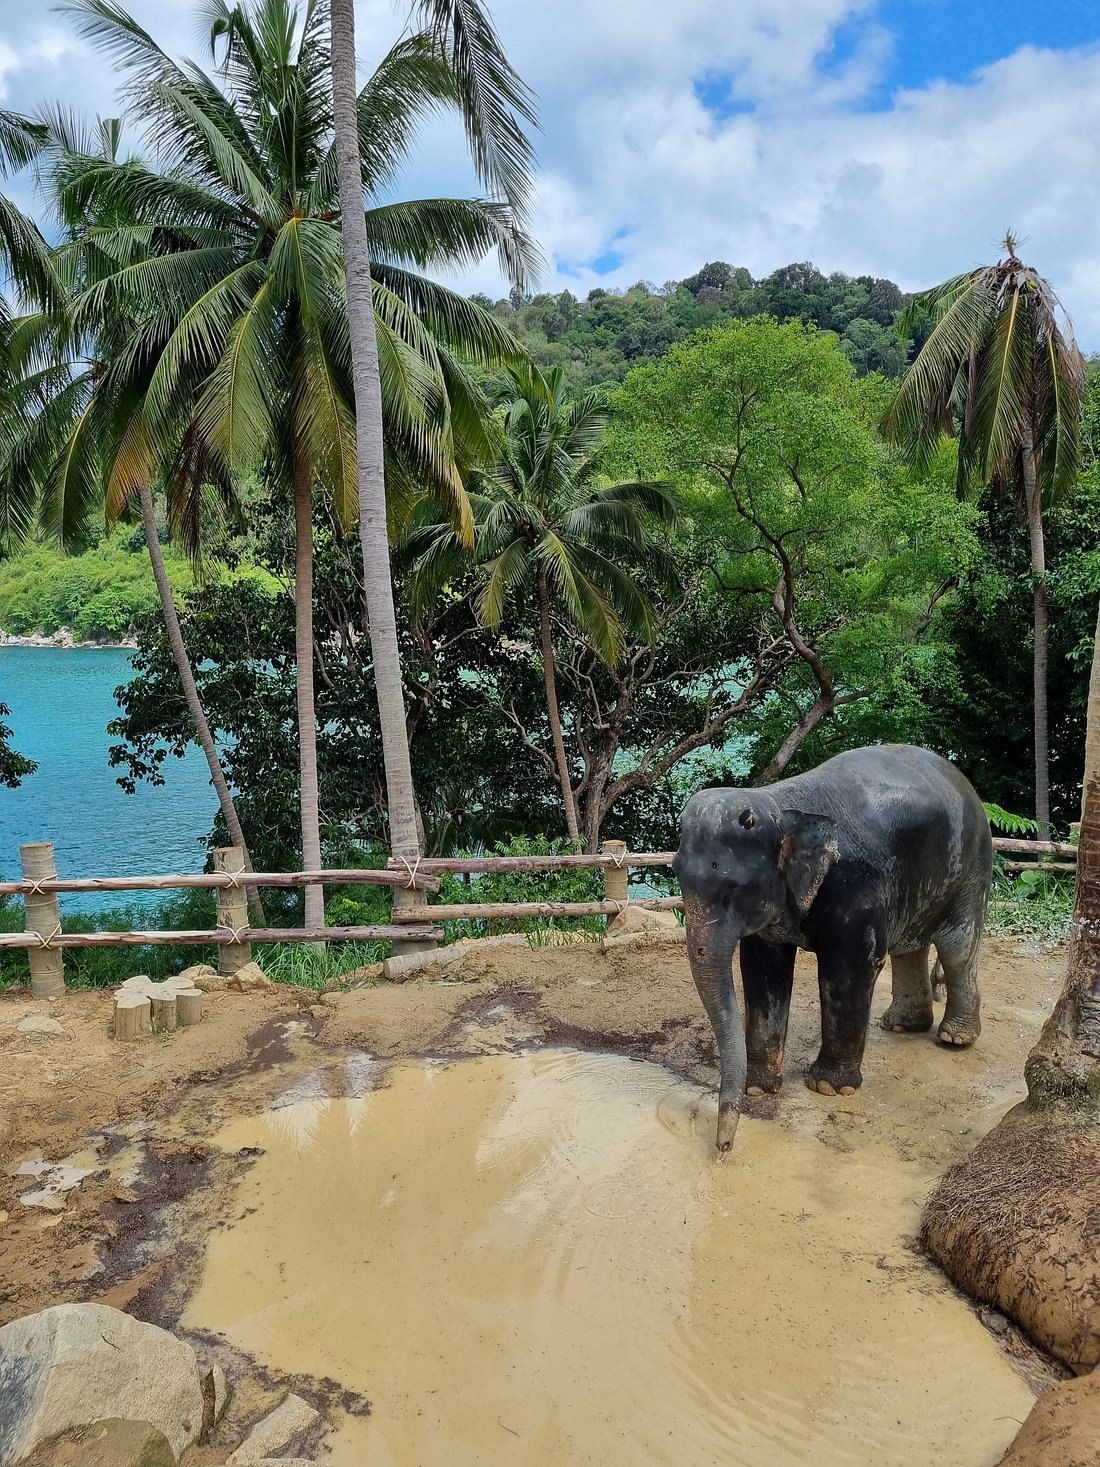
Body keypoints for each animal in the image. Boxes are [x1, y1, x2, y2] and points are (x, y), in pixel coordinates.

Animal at [672, 744, 992, 1153]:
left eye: (734, 889)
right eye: (676, 872)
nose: (723, 1147)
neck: (780, 803)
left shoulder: (855, 884)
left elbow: (852, 966)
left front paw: (828, 1088)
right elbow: (762, 968)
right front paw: (759, 1088)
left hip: (972, 866)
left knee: (957, 945)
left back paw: (954, 1039)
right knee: (910, 945)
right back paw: (902, 1026)